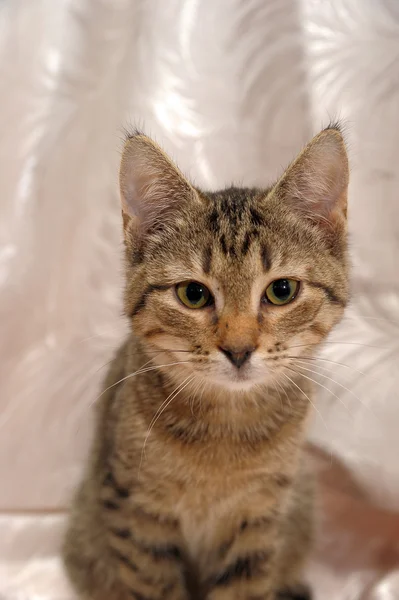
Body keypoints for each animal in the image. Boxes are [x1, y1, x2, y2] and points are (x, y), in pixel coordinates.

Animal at [63, 124, 350, 596]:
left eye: (282, 291)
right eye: (193, 294)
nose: (239, 349)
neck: (225, 431)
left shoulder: (261, 515)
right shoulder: (135, 512)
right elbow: (153, 585)